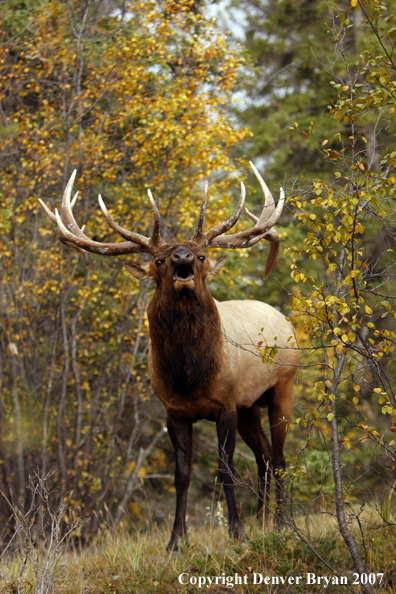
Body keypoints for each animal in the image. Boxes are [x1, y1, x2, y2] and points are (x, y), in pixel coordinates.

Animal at [41, 163, 300, 552]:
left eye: (201, 255)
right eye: (160, 260)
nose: (183, 258)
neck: (189, 376)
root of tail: (286, 321)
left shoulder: (225, 404)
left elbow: (225, 469)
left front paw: (236, 533)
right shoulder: (175, 411)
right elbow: (182, 475)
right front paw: (176, 541)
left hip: (282, 387)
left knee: (280, 457)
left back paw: (281, 524)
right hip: (249, 406)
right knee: (265, 456)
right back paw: (262, 522)